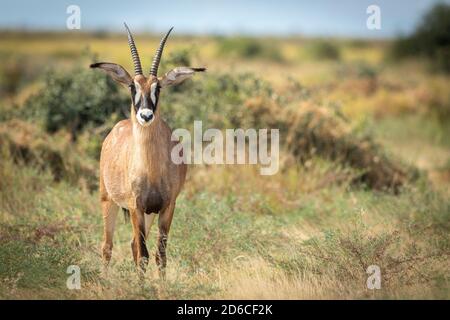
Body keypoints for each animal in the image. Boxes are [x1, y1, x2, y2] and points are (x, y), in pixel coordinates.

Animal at [90, 23, 206, 276]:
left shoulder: (166, 207)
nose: (145, 115)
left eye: (158, 87)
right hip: (108, 200)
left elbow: (159, 255)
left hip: (148, 214)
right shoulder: (136, 207)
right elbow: (142, 255)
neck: (151, 168)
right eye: (132, 86)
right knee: (107, 246)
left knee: (133, 245)